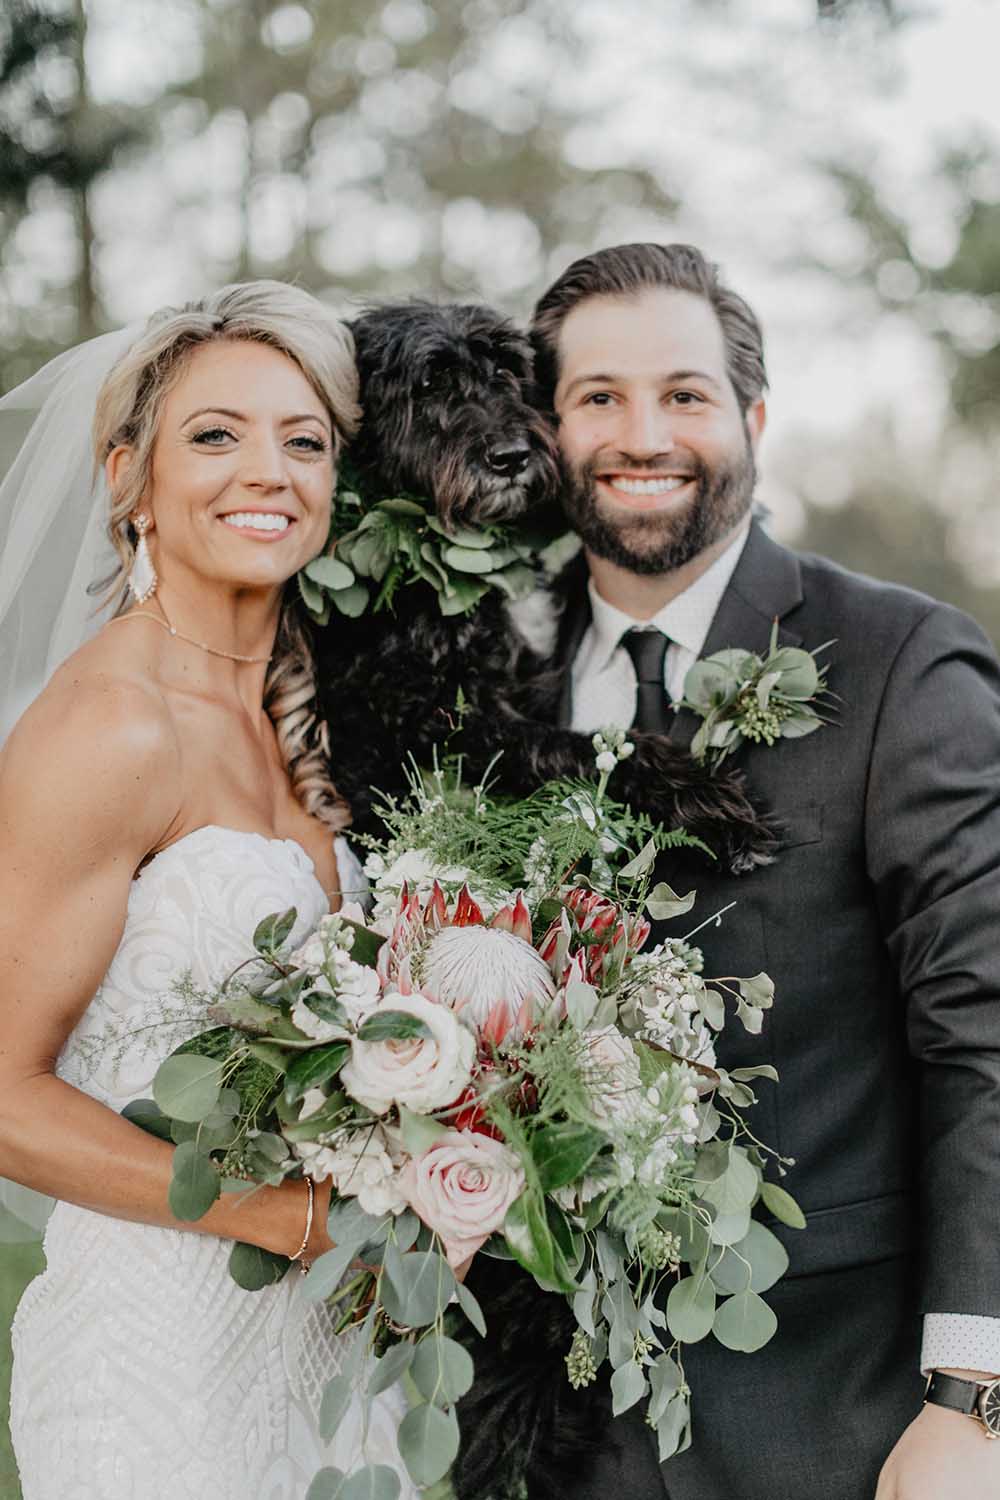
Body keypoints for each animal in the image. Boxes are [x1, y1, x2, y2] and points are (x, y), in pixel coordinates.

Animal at [313, 291, 773, 870]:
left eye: (507, 369)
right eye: (428, 383)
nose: (511, 457)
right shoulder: (441, 722)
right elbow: (573, 747)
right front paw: (703, 798)